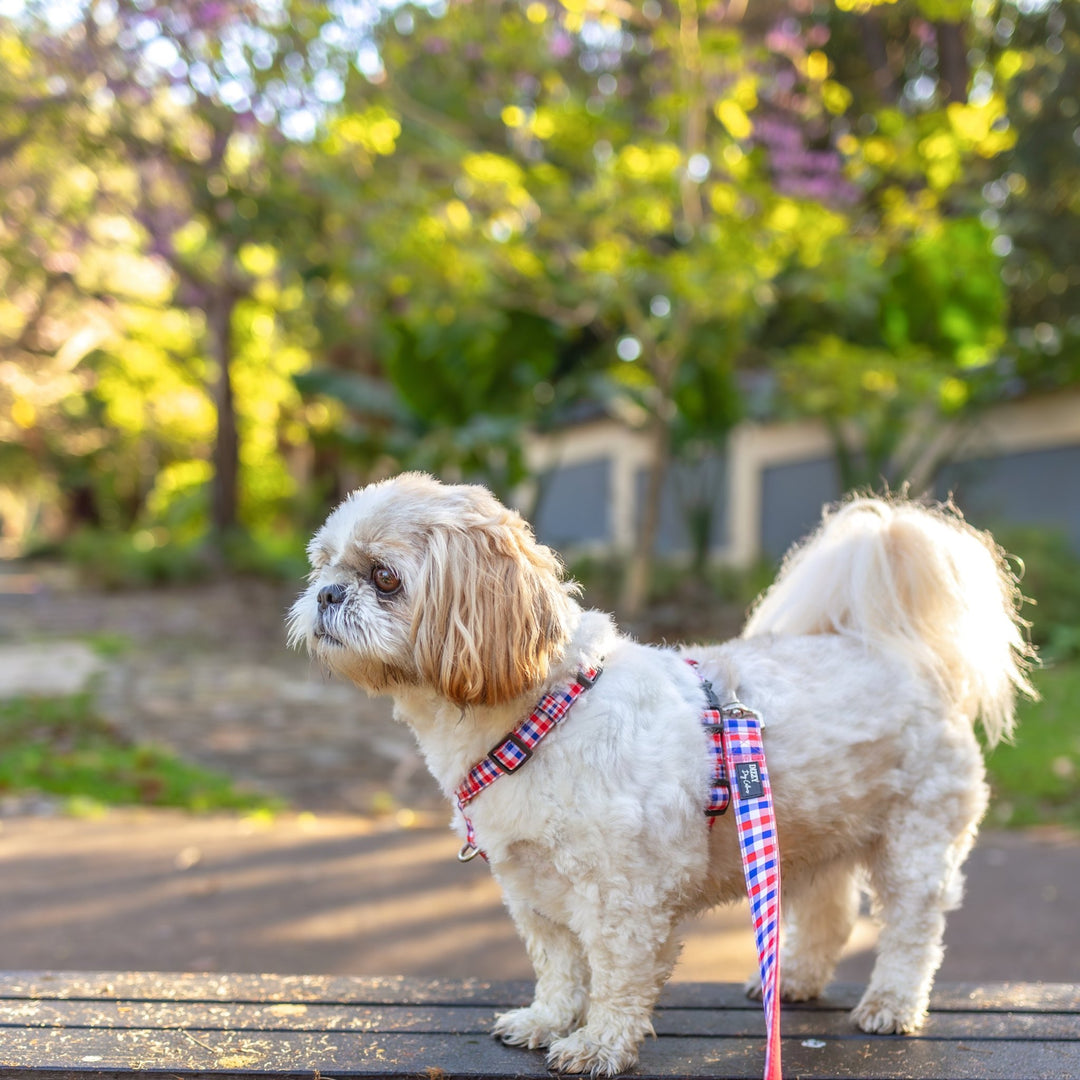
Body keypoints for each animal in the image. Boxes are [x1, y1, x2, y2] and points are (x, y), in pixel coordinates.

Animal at [289, 473, 1036, 1080]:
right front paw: (546, 1021)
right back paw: (791, 980)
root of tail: (890, 648)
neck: (543, 716)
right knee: (827, 912)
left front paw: (598, 1045)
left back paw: (891, 1003)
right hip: (803, 838)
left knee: (913, 928)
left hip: (917, 841)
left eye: (385, 577)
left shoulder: (627, 897)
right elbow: (560, 968)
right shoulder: (533, 890)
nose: (327, 594)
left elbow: (617, 979)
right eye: (322, 564)